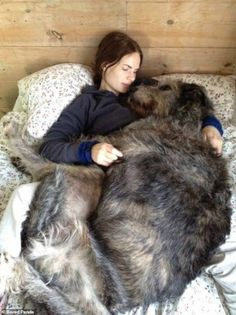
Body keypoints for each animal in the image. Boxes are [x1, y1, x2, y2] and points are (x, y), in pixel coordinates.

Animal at [0, 79, 231, 315]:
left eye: (166, 88)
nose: (135, 85)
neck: (184, 121)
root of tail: (105, 302)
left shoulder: (112, 142)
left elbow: (60, 146)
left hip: (80, 181)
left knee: (43, 167)